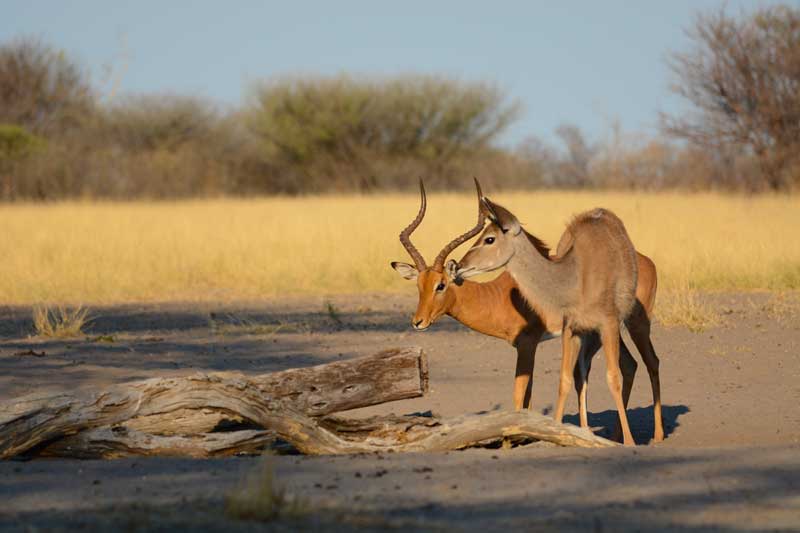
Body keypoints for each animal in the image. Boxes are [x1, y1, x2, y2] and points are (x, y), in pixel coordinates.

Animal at [392, 181, 662, 443]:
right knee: (626, 365)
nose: (418, 321)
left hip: (633, 324)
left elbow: (519, 393)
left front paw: (510, 439)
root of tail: (646, 260)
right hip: (602, 333)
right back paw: (613, 435)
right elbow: (531, 394)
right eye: (419, 285)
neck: (497, 295)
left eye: (440, 285)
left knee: (650, 361)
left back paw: (656, 436)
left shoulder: (527, 344)